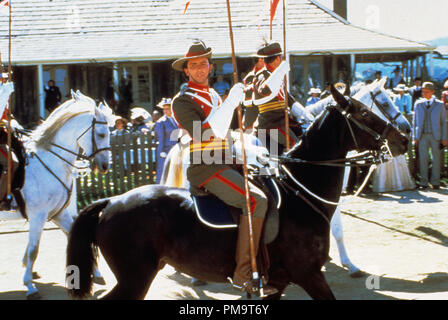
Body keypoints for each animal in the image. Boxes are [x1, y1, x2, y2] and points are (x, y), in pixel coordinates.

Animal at [0, 90, 114, 300]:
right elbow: (33, 250)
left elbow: (77, 235)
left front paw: (97, 274)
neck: (51, 160)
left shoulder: (58, 214)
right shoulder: (38, 215)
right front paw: (30, 286)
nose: (104, 166)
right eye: (102, 134)